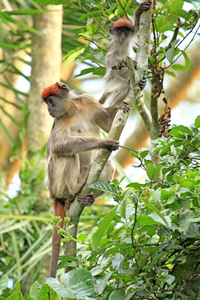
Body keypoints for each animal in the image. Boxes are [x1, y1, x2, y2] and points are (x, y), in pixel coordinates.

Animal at [41, 81, 130, 276]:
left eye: (50, 101)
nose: (49, 109)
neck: (72, 109)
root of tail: (53, 195)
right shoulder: (59, 120)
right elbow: (57, 146)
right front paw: (102, 143)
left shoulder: (87, 101)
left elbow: (108, 124)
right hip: (55, 181)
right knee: (65, 153)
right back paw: (75, 187)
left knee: (108, 164)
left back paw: (85, 198)